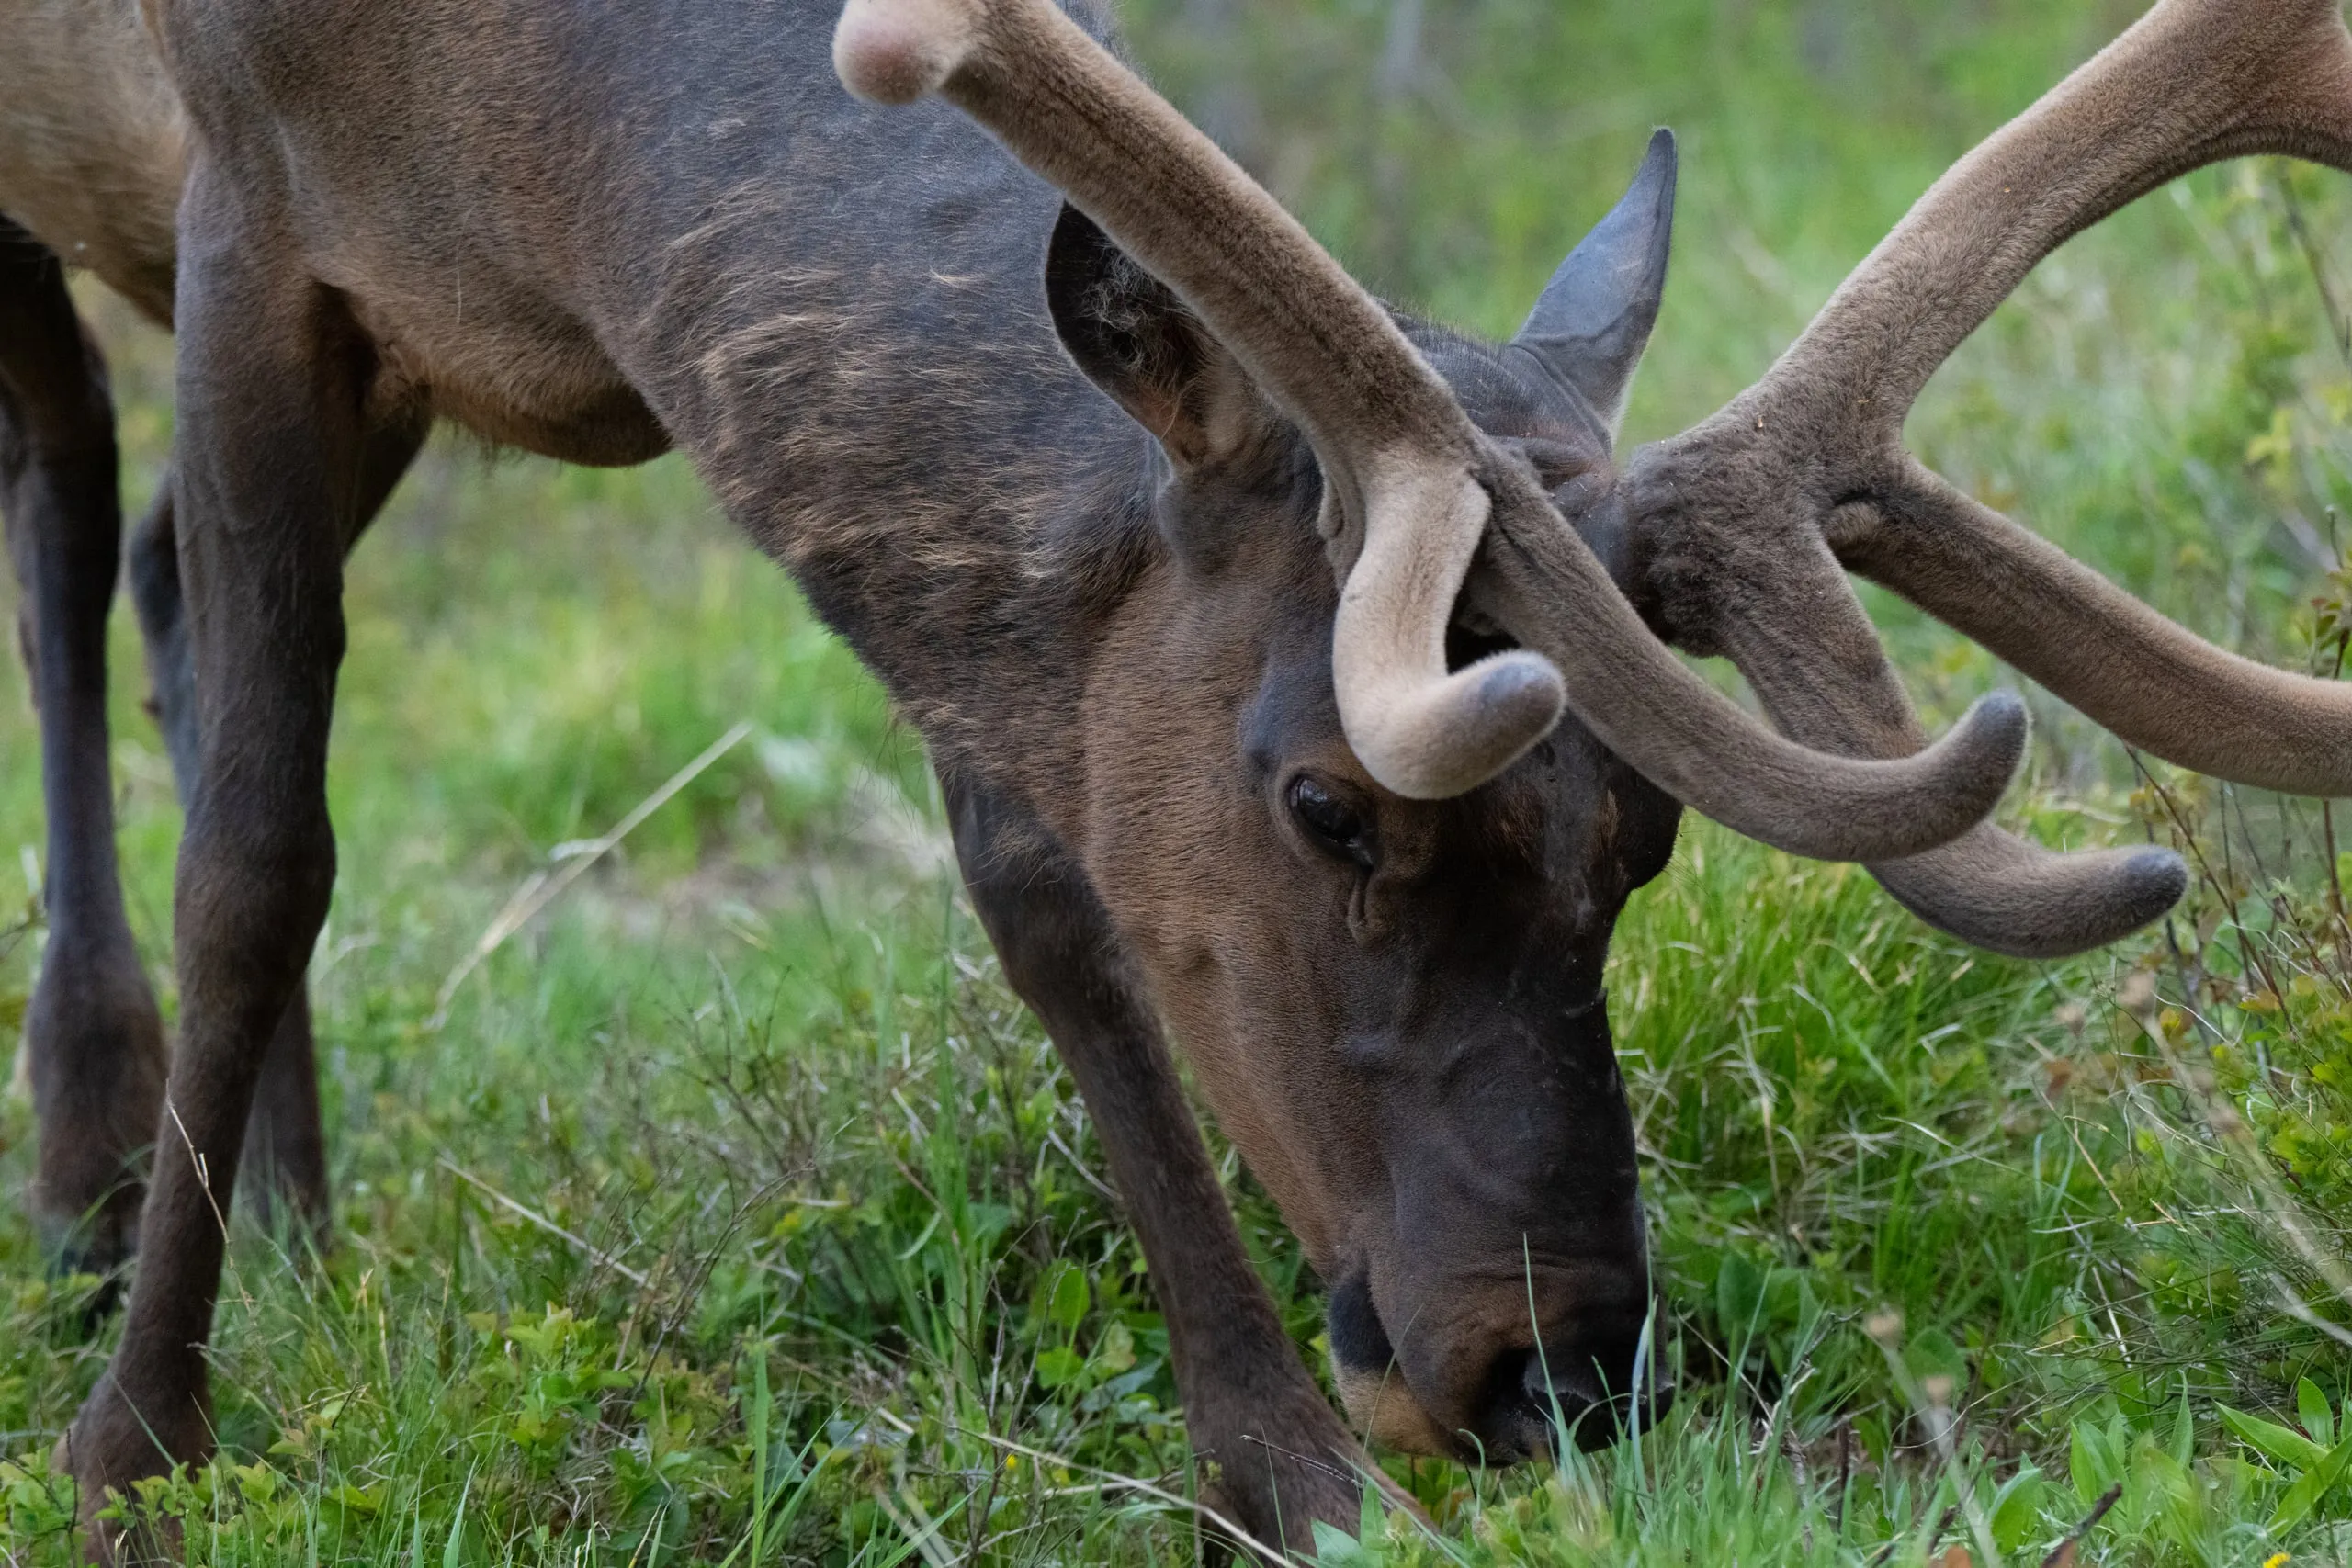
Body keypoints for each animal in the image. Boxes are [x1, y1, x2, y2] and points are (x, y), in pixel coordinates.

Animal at [5, 0, 2352, 1557]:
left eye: (1640, 841)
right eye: (1330, 802)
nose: (1548, 1361)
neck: (534, 169)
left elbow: (1047, 901)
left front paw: (1273, 1467)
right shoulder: (245, 214)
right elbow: (263, 853)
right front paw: (138, 1447)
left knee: (158, 583)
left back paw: (303, 1221)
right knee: (74, 510)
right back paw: (90, 1168)